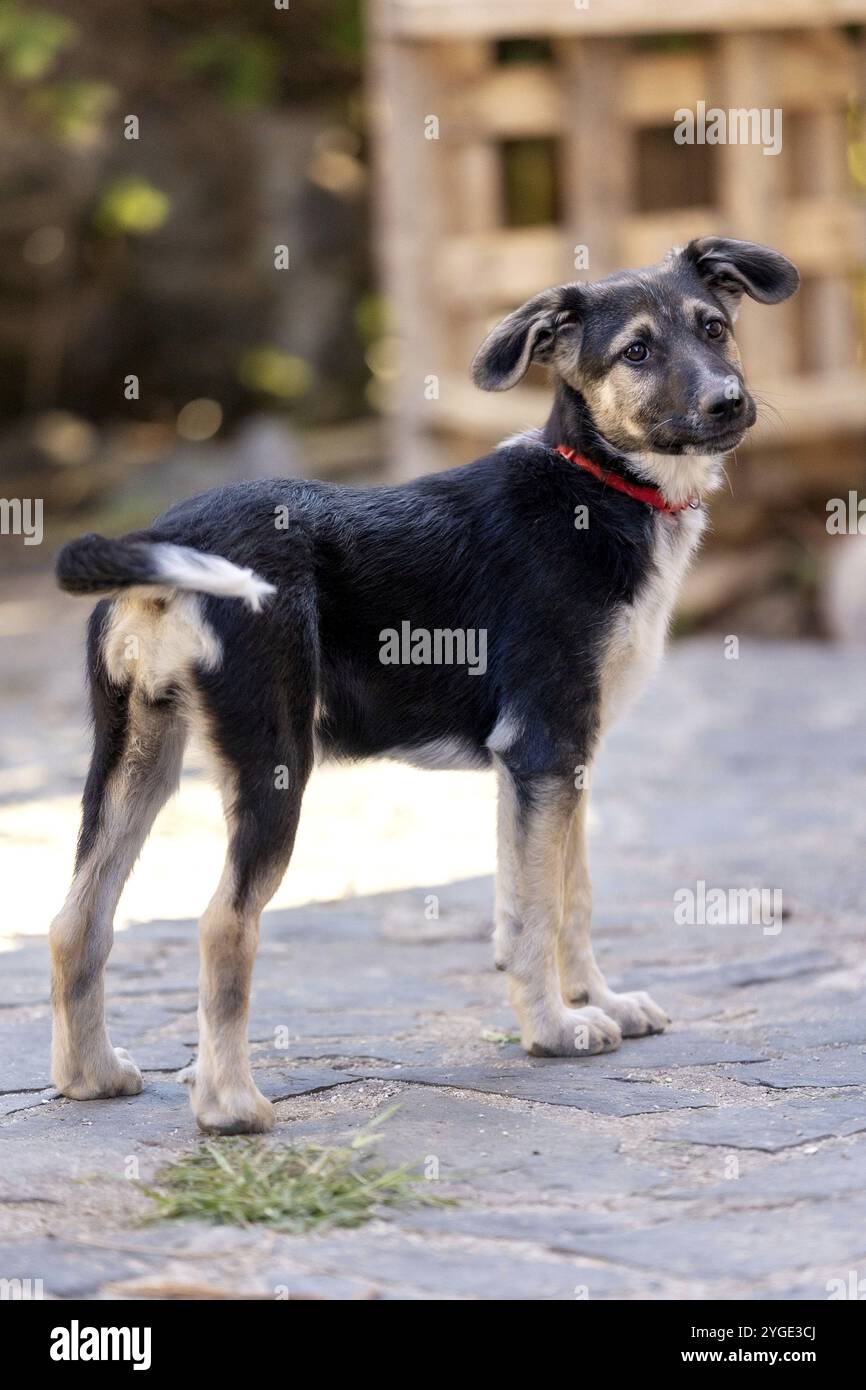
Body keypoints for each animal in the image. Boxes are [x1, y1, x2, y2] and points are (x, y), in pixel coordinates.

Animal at [52, 236, 800, 1128]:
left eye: (715, 327)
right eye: (637, 353)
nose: (729, 403)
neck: (600, 483)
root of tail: (163, 540)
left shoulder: (565, 760)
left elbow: (570, 896)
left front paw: (600, 1004)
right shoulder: (542, 746)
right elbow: (537, 911)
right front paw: (554, 1030)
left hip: (135, 756)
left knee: (77, 920)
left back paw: (90, 1076)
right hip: (274, 762)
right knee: (221, 924)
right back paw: (230, 1104)